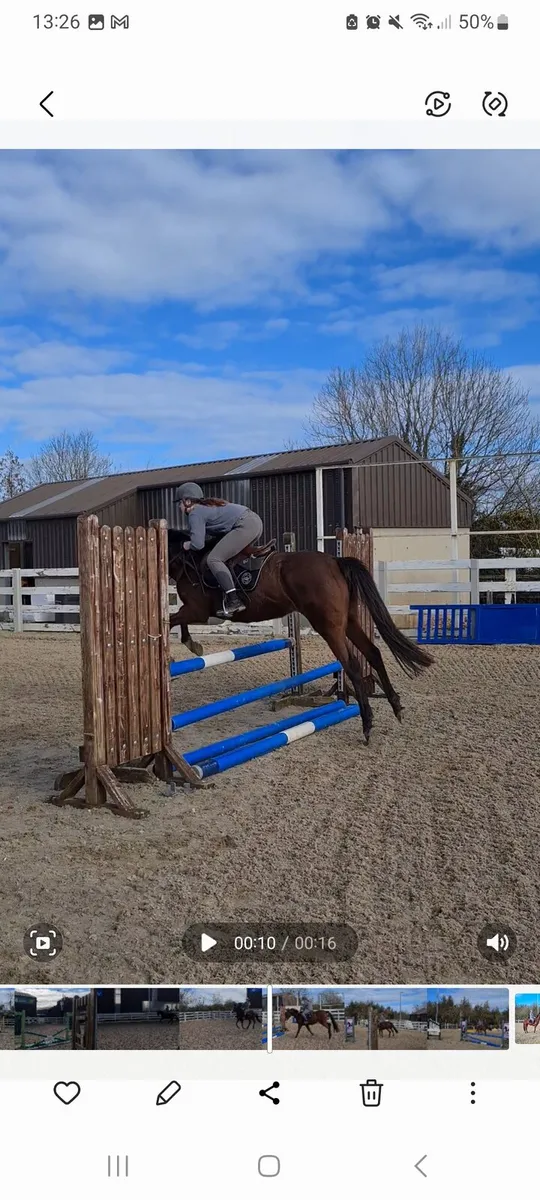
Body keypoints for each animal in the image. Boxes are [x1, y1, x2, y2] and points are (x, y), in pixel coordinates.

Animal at [167, 532, 433, 742]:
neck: (187, 562)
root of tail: (335, 561)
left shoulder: (198, 611)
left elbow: (171, 620)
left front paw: (187, 647)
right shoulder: (195, 612)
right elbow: (173, 620)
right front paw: (188, 648)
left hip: (329, 628)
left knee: (352, 665)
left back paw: (367, 723)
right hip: (349, 622)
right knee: (373, 653)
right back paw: (395, 705)